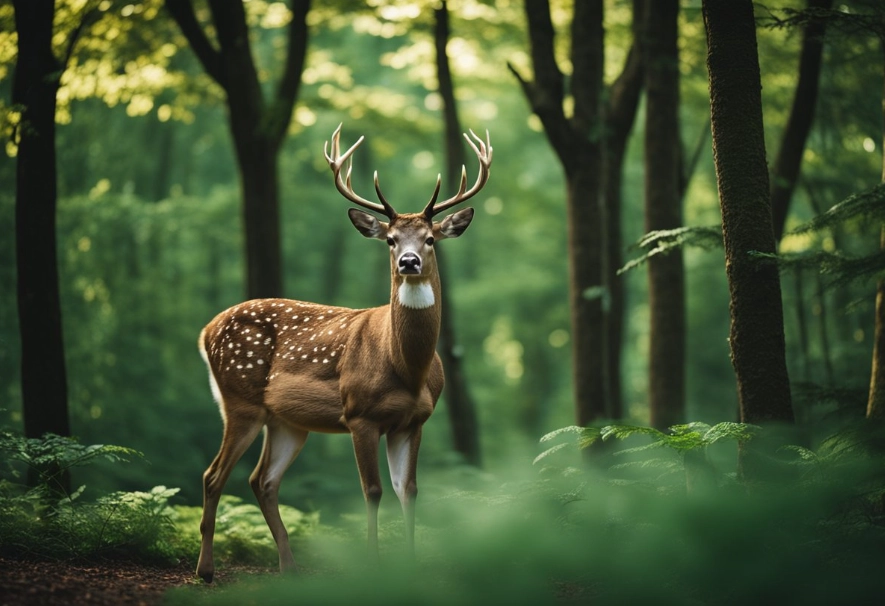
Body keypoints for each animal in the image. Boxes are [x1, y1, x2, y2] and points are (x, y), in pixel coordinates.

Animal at [194, 124, 492, 582]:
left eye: (429, 239)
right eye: (390, 240)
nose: (408, 261)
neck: (407, 367)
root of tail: (206, 330)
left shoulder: (414, 421)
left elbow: (408, 490)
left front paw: (410, 565)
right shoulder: (359, 414)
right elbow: (372, 490)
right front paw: (371, 564)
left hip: (286, 421)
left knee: (262, 480)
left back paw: (289, 567)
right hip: (239, 398)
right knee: (214, 475)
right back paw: (206, 570)